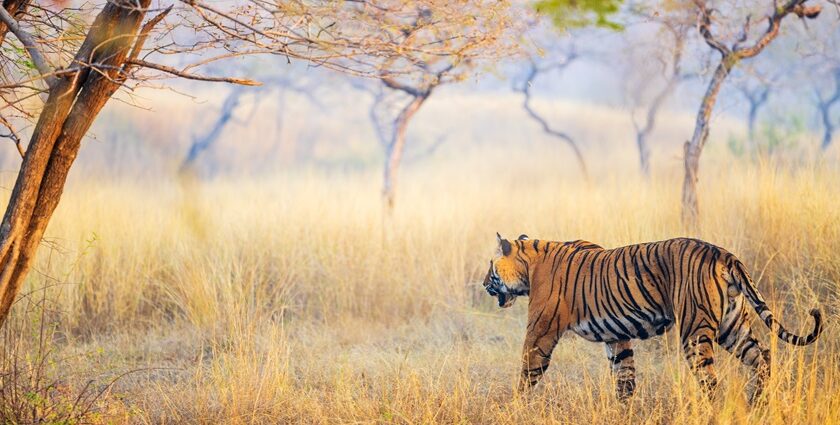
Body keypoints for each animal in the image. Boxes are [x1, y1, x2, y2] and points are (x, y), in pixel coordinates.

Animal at [482, 232, 824, 400]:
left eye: (490, 266)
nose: (484, 284)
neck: (530, 264)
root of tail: (723, 252)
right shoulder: (617, 336)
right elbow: (625, 378)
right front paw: (624, 411)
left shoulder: (540, 332)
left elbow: (527, 373)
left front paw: (516, 407)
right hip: (733, 327)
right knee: (762, 357)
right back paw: (758, 403)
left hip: (695, 332)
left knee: (711, 381)